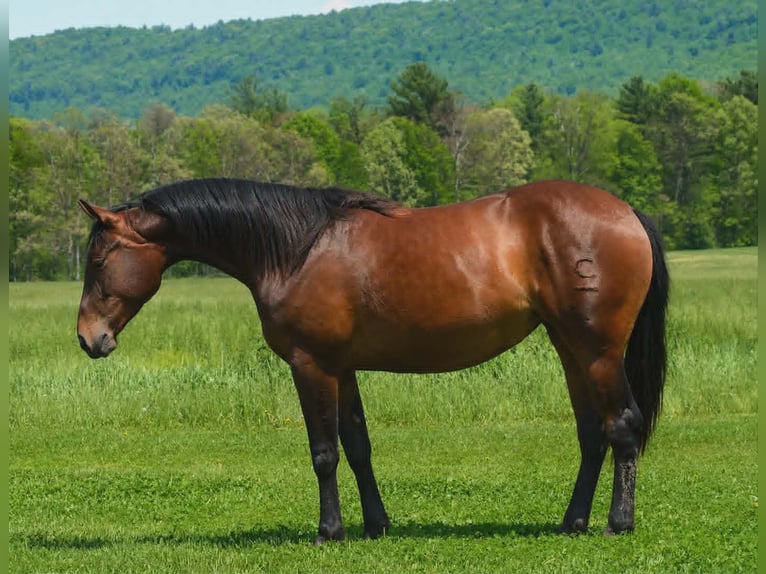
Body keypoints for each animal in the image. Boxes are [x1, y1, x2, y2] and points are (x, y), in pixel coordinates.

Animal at [76, 178, 668, 544]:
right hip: (570, 349)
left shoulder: (310, 365)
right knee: (592, 434)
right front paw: (376, 524)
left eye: (99, 258)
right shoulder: (343, 369)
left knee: (623, 425)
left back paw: (618, 522)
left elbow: (324, 452)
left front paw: (329, 531)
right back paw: (572, 522)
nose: (88, 338)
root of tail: (626, 212)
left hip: (598, 352)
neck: (296, 249)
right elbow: (358, 446)